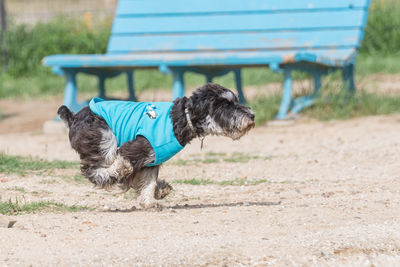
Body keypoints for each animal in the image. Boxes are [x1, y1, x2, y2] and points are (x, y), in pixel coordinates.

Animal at [57, 84, 255, 209]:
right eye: (225, 104)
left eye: (236, 100)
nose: (252, 116)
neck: (180, 119)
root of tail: (73, 117)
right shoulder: (137, 148)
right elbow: (127, 163)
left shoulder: (151, 160)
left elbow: (148, 181)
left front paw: (150, 201)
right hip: (104, 137)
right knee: (93, 168)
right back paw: (113, 173)